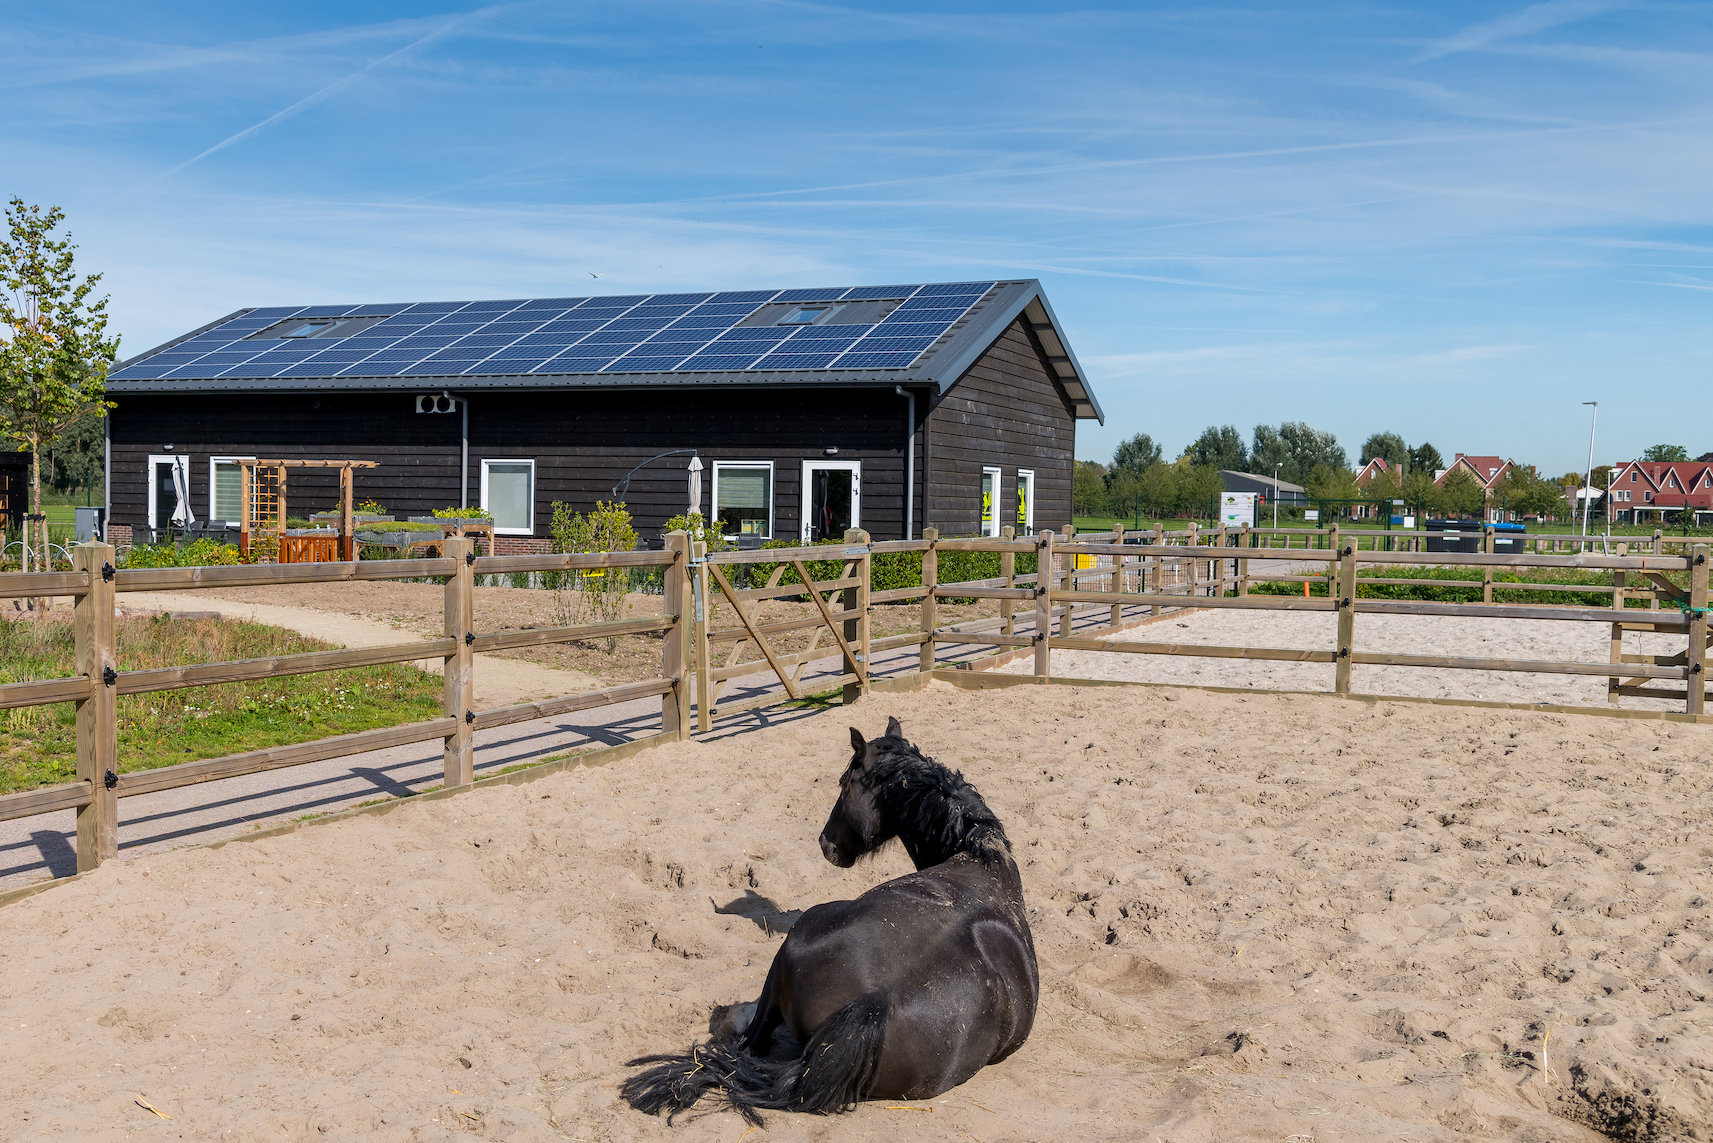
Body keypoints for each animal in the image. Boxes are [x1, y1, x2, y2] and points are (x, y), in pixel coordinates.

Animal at [623, 716, 1034, 1124]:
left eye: (844, 783)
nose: (826, 844)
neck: (981, 853)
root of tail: (874, 1003)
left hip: (787, 955)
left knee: (750, 1041)